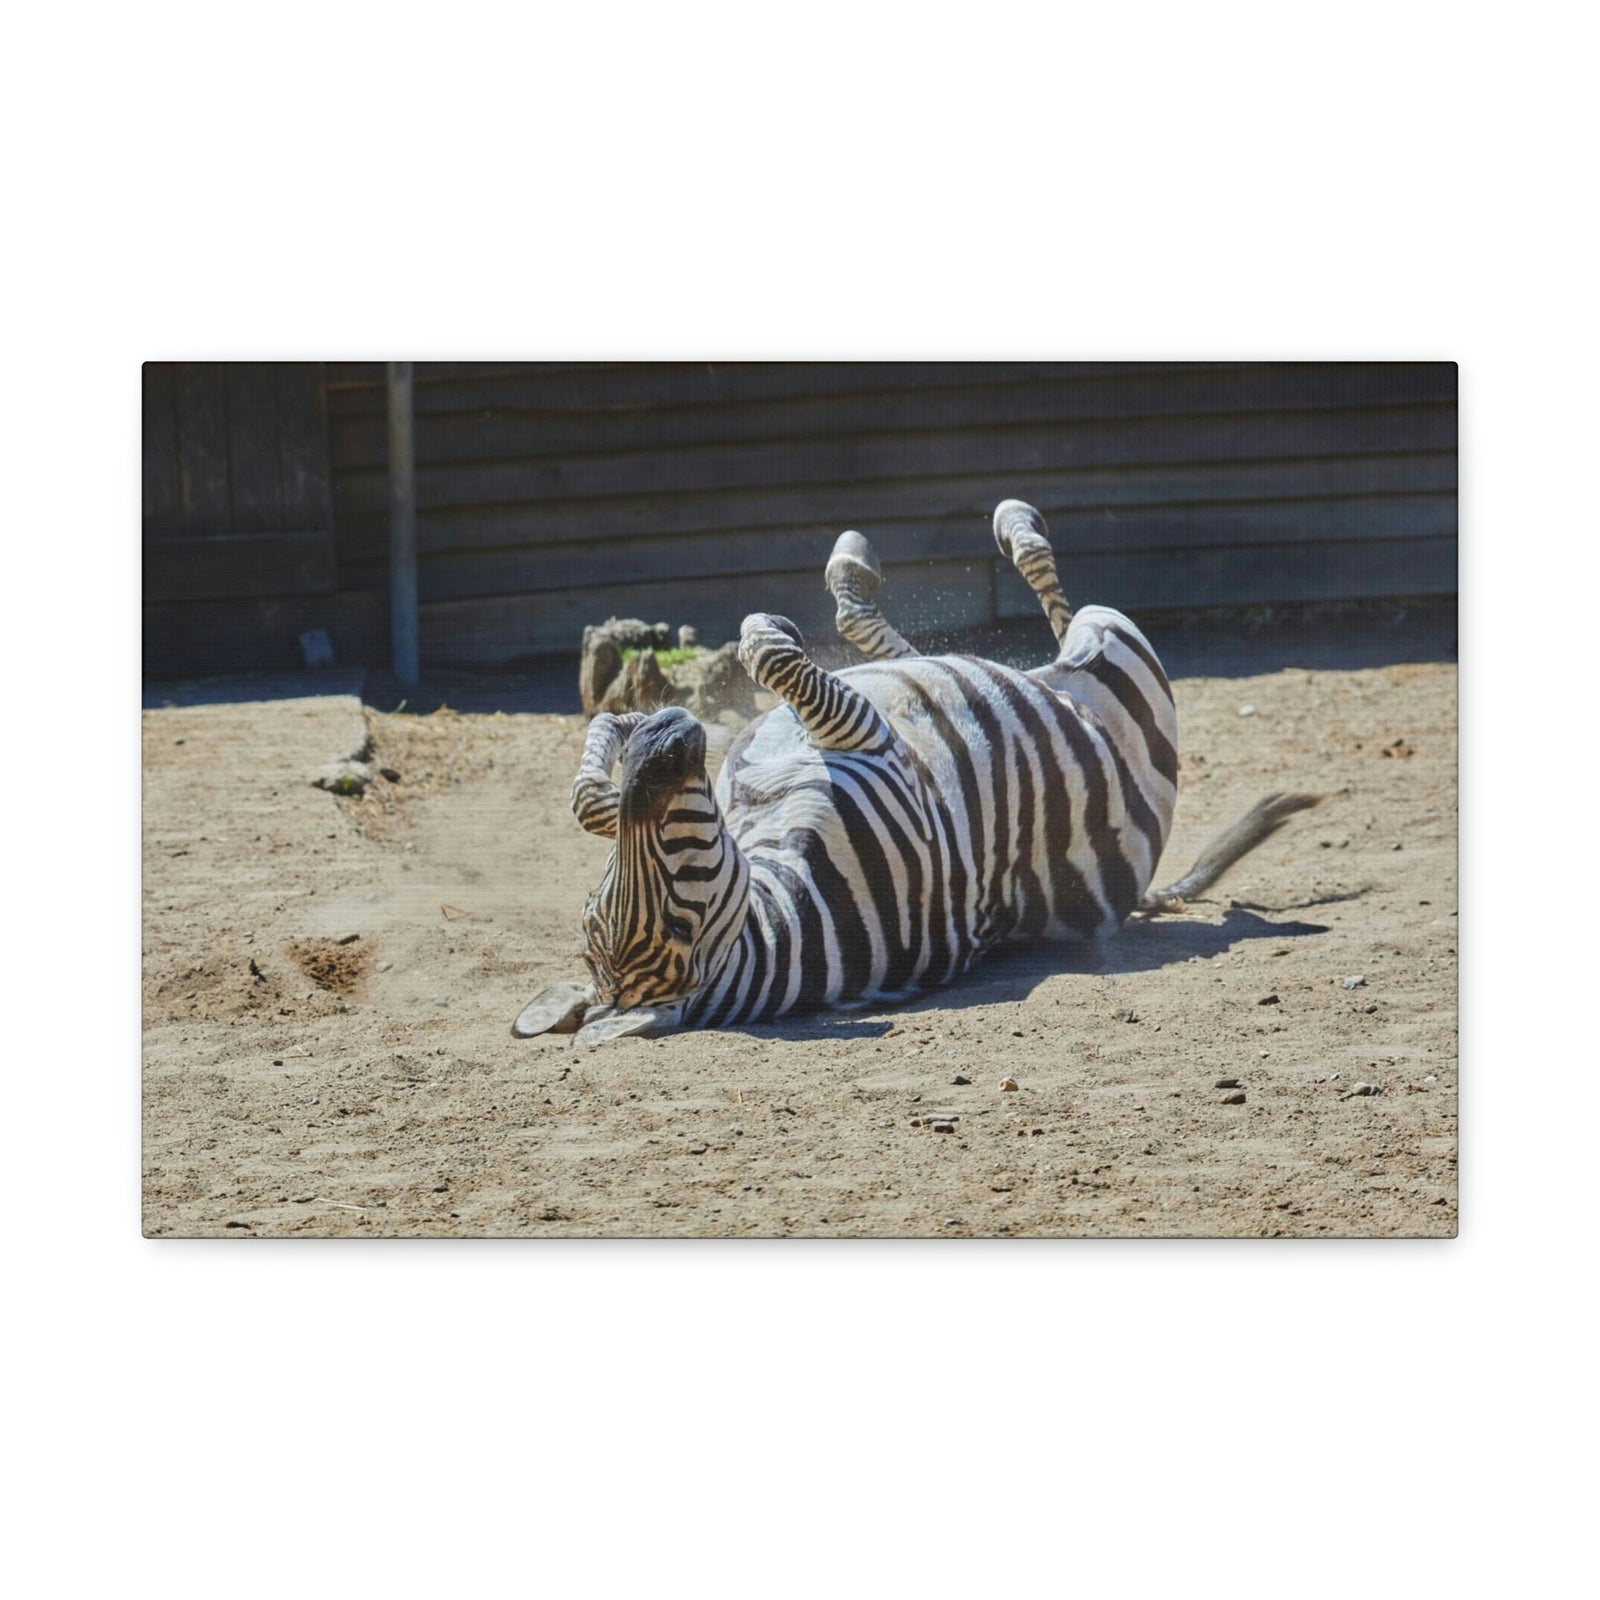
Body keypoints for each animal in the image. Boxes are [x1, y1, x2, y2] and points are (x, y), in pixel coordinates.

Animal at [515, 500, 1317, 1046]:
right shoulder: (872, 746)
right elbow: (764, 651)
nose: (669, 736)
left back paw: (860, 562)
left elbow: (589, 799)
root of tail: (1141, 887)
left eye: (604, 899)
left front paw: (615, 733)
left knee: (899, 641)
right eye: (676, 916)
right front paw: (759, 641)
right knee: (1057, 612)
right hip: (1120, 656)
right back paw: (1011, 525)